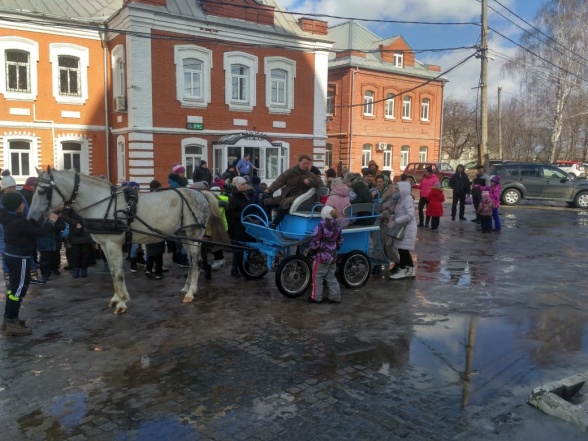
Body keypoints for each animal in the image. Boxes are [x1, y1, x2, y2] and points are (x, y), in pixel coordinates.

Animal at [28, 165, 230, 312]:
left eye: (42, 191)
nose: (30, 219)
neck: (103, 204)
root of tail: (201, 193)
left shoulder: (113, 244)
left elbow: (118, 273)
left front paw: (122, 302)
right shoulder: (104, 245)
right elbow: (112, 272)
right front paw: (116, 298)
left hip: (194, 235)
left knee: (195, 263)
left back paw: (191, 292)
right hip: (184, 235)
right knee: (191, 260)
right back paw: (186, 288)